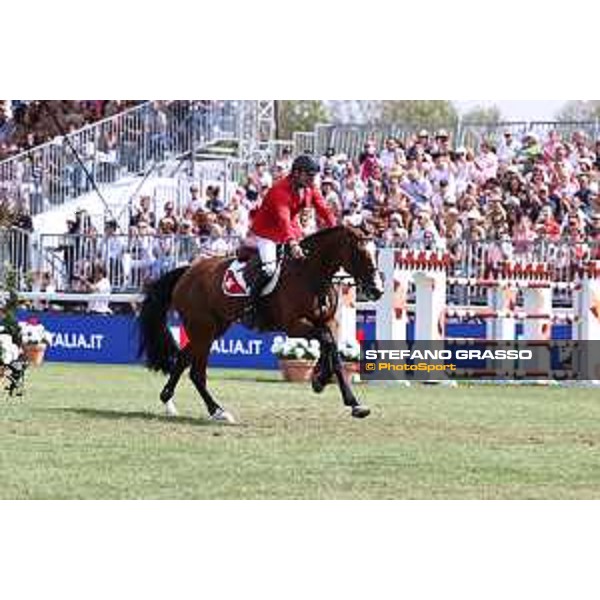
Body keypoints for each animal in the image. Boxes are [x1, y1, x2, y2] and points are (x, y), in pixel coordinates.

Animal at [138, 225, 384, 422]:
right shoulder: (294, 325)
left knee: (183, 359)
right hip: (203, 329)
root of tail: (187, 272)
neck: (311, 273)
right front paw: (327, 383)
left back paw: (169, 401)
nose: (377, 290)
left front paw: (327, 384)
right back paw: (217, 411)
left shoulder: (328, 321)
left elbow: (332, 347)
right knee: (196, 372)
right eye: (361, 253)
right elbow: (327, 341)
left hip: (213, 328)